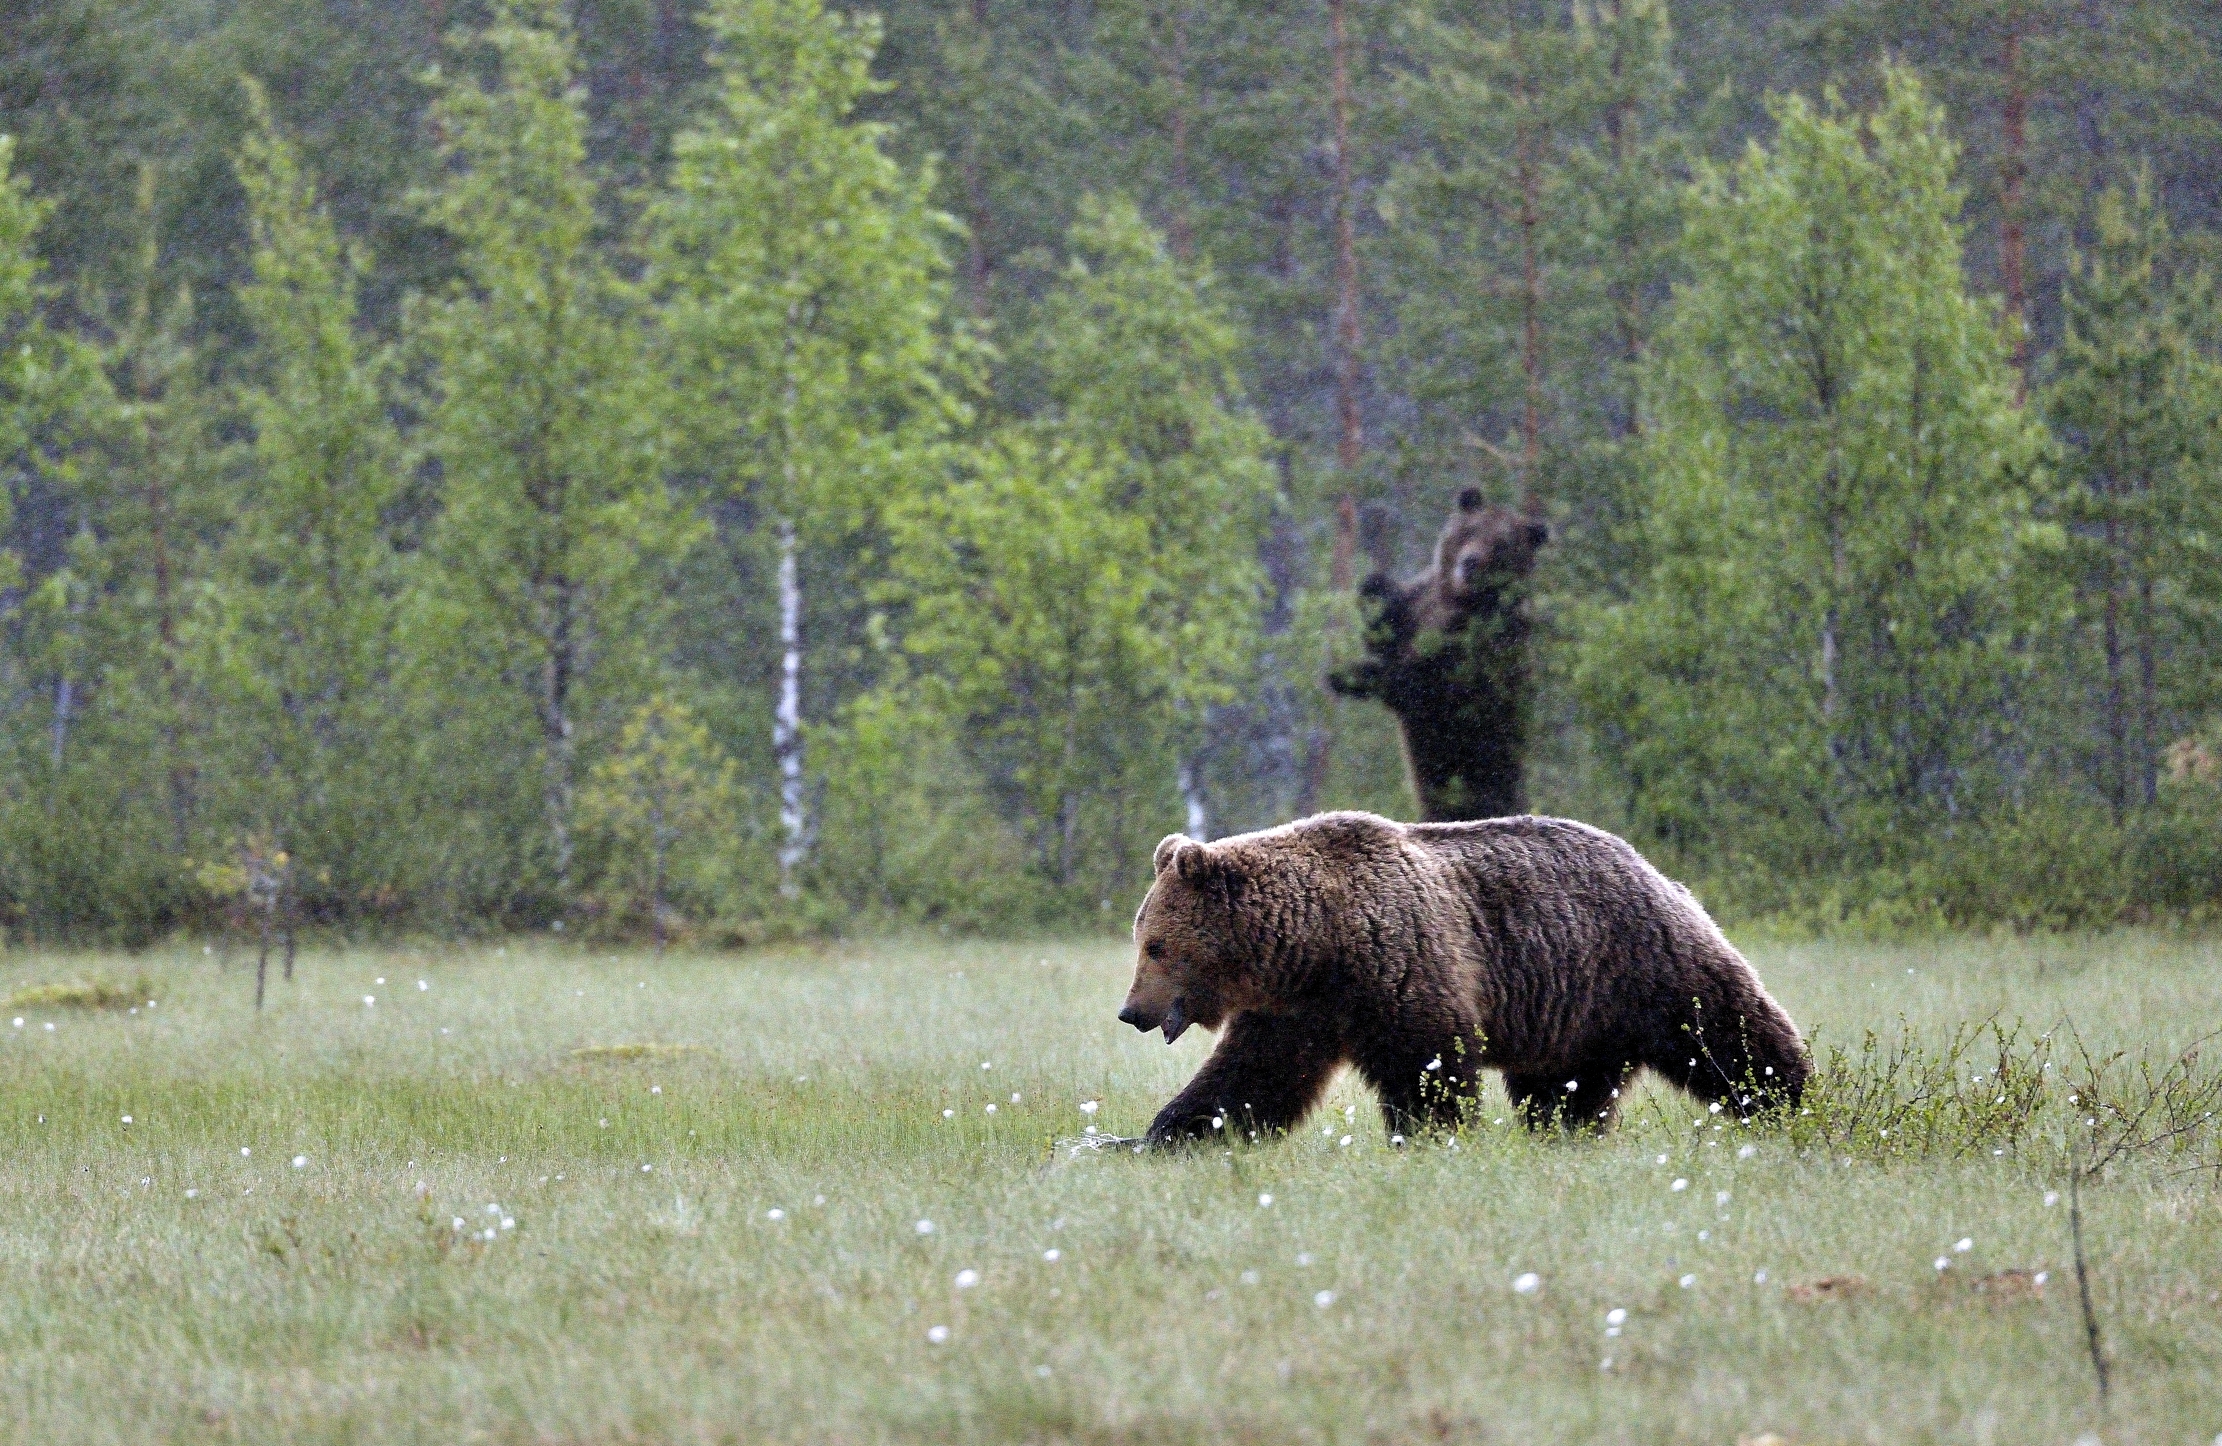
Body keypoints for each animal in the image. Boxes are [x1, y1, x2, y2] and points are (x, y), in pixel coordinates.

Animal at [1117, 810, 1809, 1146]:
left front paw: (1432, 1135)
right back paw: (1562, 1133)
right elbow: (1250, 1077)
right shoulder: (1297, 1009)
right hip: (1574, 1013)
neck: (1319, 943)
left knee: (1725, 1032)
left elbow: (1428, 1064)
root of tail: (1655, 869)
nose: (1131, 1011)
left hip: (1645, 962)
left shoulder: (1401, 965)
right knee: (1564, 1087)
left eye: (1155, 946)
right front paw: (1168, 1133)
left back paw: (1788, 1097)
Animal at [1327, 488, 1548, 822]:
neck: (1457, 599)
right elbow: (1385, 624)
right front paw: (1377, 592)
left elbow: (1427, 684)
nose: (1470, 562)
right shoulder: (1422, 602)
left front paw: (1351, 675)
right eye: (1470, 530)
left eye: (1500, 546)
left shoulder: (1487, 645)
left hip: (1486, 766)